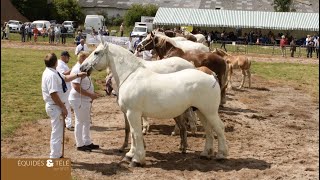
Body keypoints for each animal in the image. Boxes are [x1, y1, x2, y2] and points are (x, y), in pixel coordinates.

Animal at [81, 41, 229, 167]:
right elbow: (134, 133)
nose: (82, 67)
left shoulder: (133, 113)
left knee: (219, 128)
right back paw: (205, 153)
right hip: (201, 111)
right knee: (209, 130)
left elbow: (136, 133)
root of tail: (211, 76)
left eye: (96, 52)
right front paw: (130, 154)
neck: (130, 76)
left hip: (209, 112)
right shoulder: (131, 114)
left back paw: (221, 155)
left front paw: (137, 159)